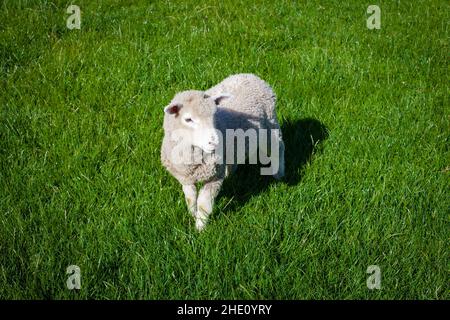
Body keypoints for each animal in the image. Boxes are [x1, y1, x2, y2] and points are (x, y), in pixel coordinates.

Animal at [160, 74, 284, 231]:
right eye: (188, 119)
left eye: (214, 115)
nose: (214, 142)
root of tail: (250, 75)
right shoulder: (185, 177)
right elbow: (190, 198)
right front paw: (192, 214)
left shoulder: (214, 177)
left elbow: (204, 204)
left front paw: (200, 228)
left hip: (270, 124)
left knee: (278, 148)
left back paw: (279, 174)